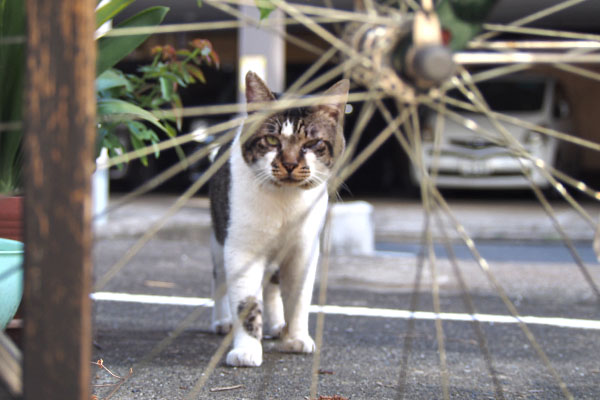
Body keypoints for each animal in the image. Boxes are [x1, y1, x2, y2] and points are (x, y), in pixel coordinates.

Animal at [210, 71, 350, 366]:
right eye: (272, 141)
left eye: (312, 143)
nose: (289, 164)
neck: (285, 203)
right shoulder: (241, 249)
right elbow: (246, 303)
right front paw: (247, 350)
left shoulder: (304, 251)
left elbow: (298, 298)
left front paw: (295, 338)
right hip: (218, 238)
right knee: (219, 280)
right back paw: (222, 321)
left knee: (273, 287)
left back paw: (276, 325)